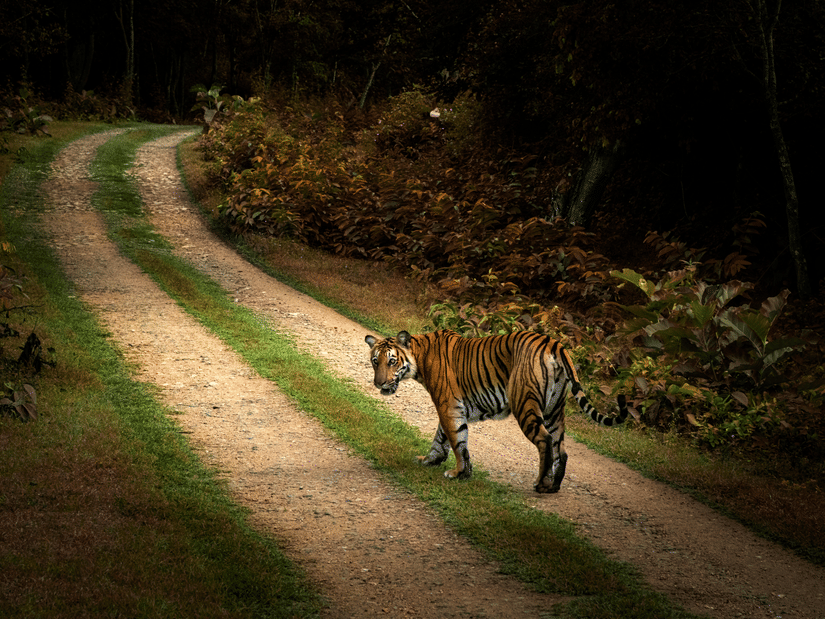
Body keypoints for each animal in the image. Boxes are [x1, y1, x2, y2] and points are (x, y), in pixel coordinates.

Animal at [365, 329, 628, 493]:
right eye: (375, 361)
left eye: (392, 361)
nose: (379, 384)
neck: (420, 357)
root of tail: (553, 343)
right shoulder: (451, 406)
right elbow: (442, 438)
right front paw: (432, 460)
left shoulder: (448, 405)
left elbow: (457, 441)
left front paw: (458, 473)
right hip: (555, 410)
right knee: (560, 448)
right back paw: (554, 486)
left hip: (525, 403)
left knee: (545, 440)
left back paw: (541, 485)